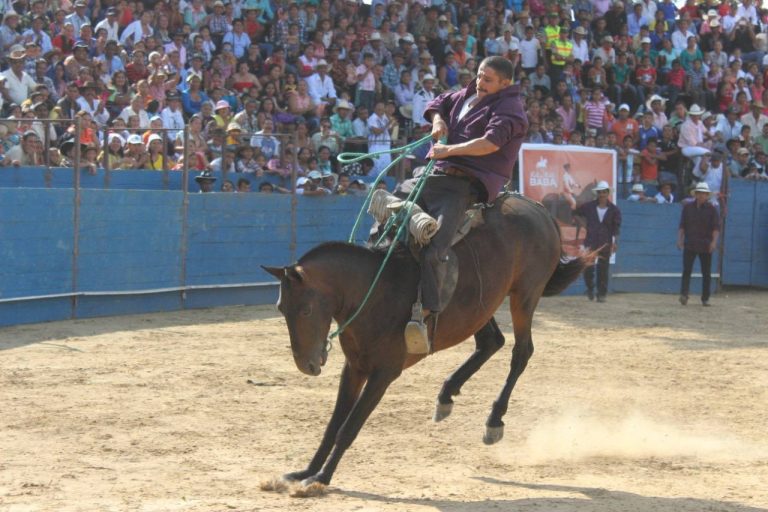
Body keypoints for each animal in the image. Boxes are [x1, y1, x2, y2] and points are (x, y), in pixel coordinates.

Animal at [262, 193, 588, 488]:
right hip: (482, 307)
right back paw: (446, 395)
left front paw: (320, 479)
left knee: (521, 352)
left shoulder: (384, 372)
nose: (306, 364)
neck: (375, 289)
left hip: (525, 294)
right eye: (280, 308)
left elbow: (348, 427)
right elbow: (333, 426)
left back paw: (494, 420)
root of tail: (538, 208)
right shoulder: (354, 368)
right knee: (491, 342)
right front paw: (304, 472)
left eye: (305, 309)